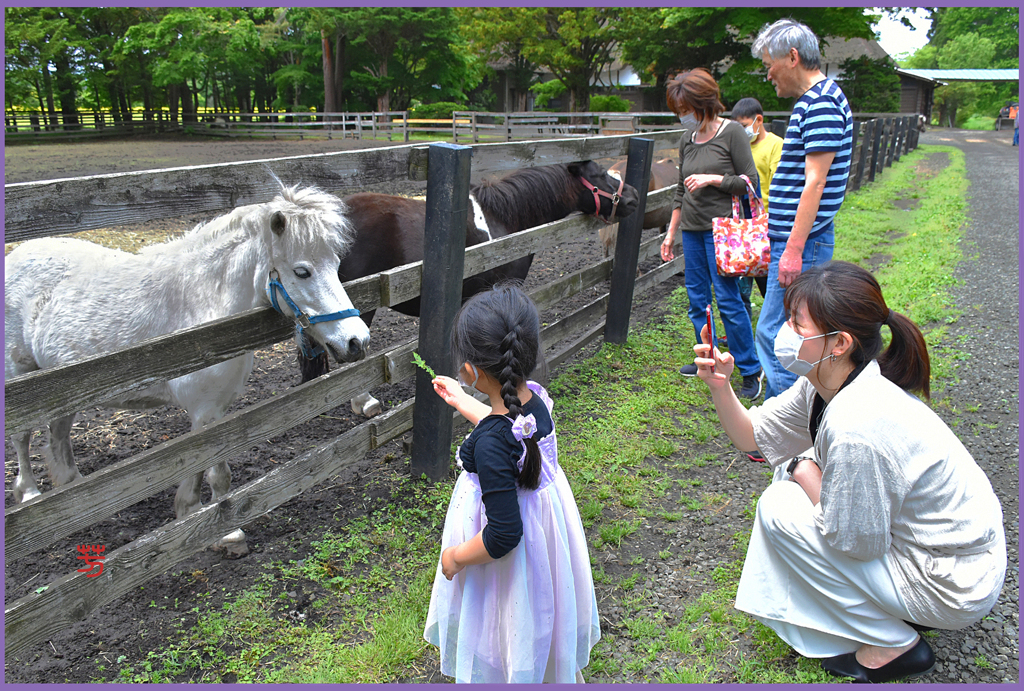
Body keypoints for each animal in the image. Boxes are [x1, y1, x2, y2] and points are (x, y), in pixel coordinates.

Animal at [4, 182, 372, 556]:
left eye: (336, 265)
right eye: (302, 271)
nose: (356, 340)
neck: (204, 303)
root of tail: (16, 255)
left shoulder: (217, 411)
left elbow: (209, 468)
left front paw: (199, 514)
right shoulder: (204, 410)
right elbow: (209, 468)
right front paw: (223, 530)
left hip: (62, 389)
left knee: (58, 436)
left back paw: (75, 495)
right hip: (20, 378)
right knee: (22, 438)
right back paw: (30, 492)